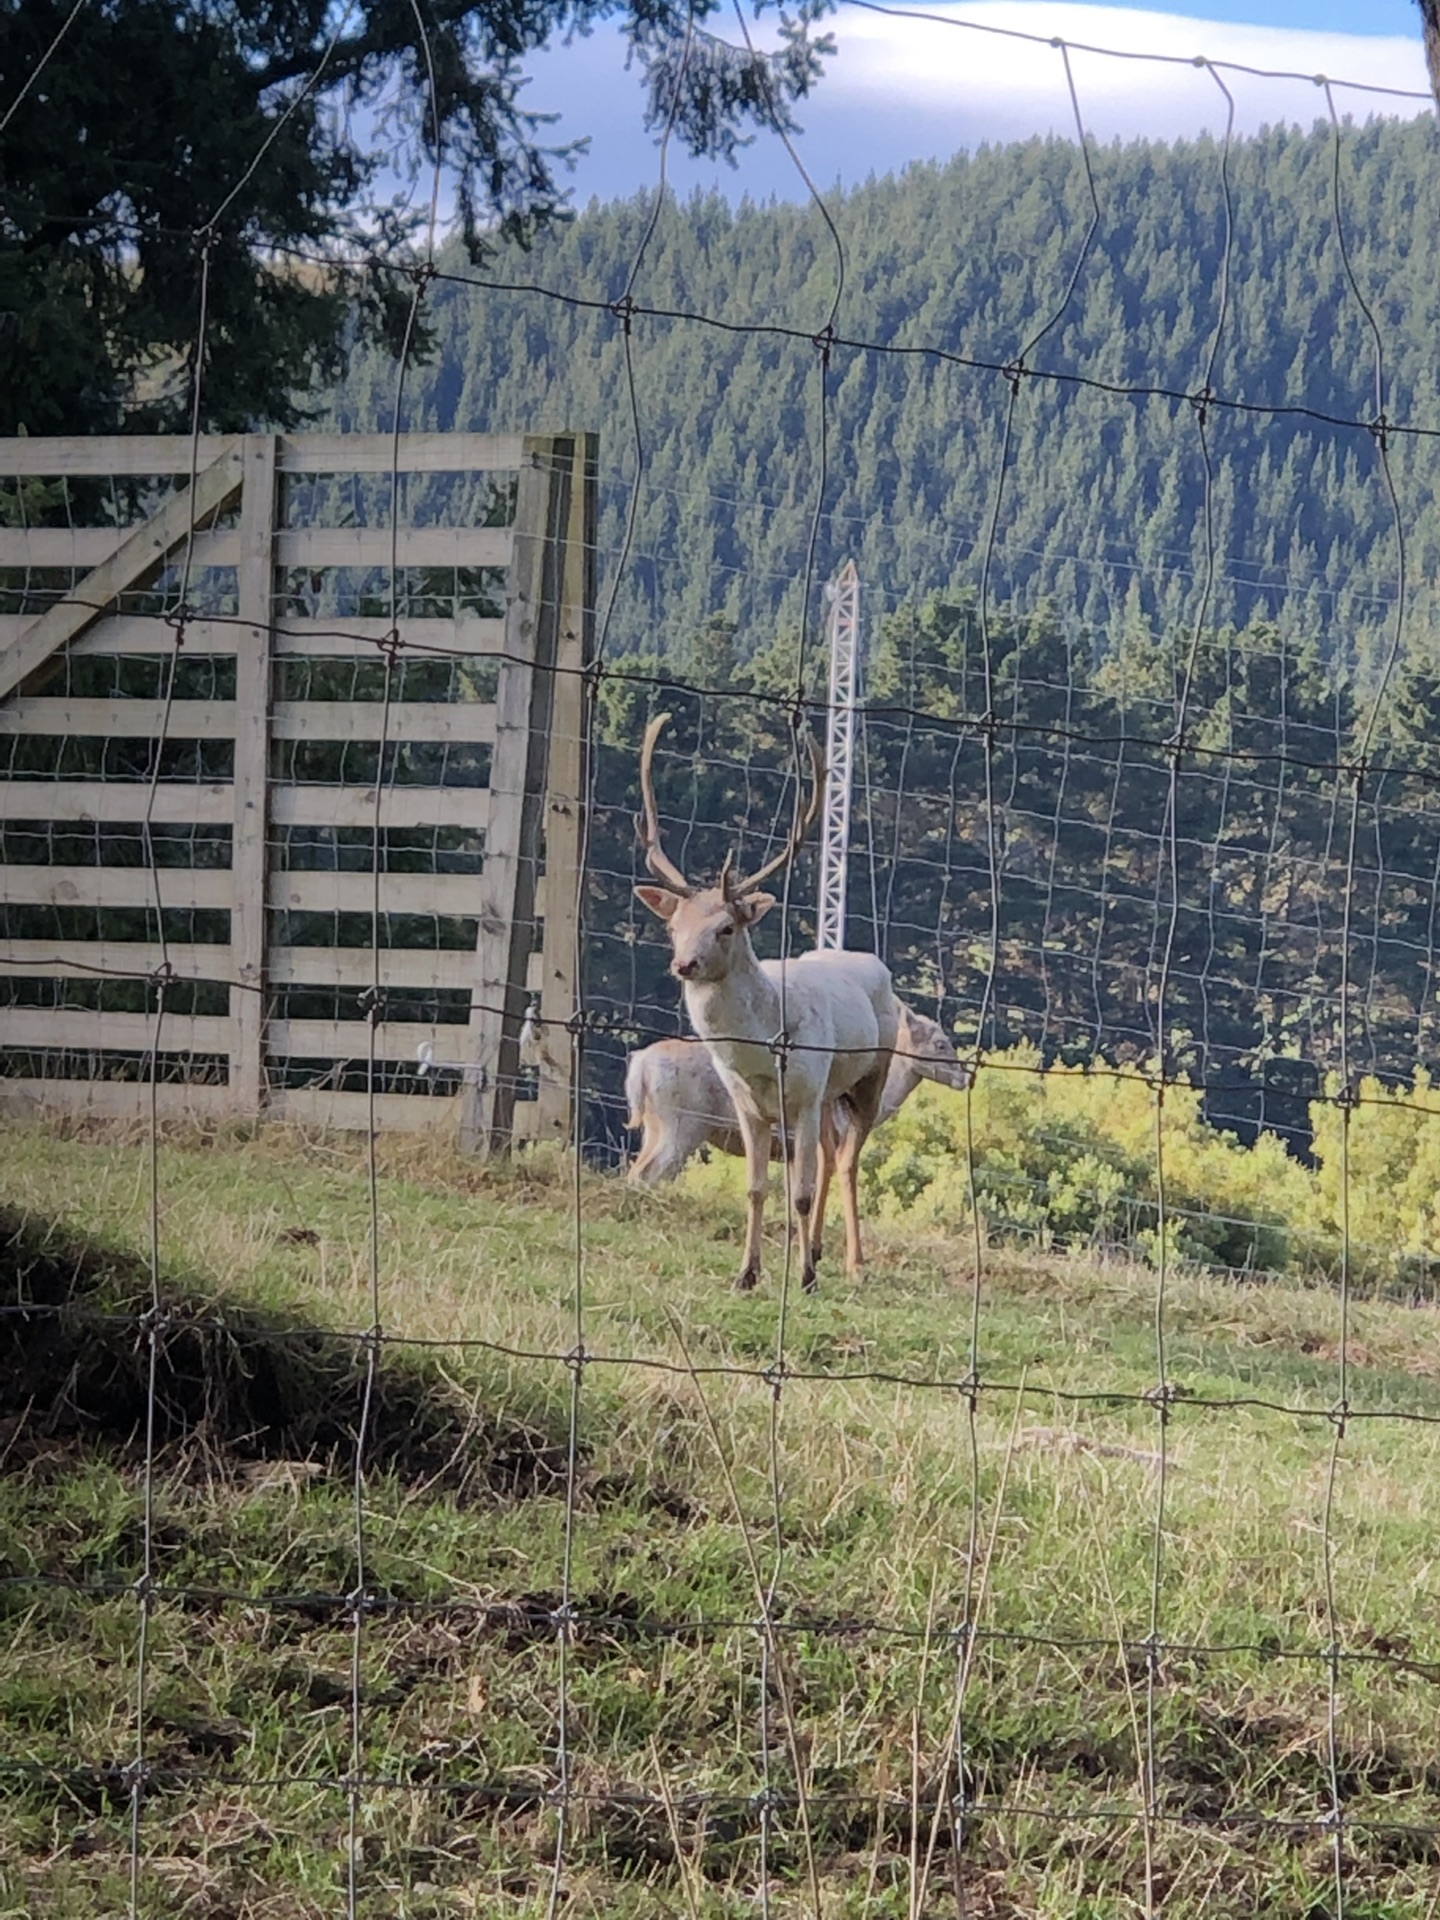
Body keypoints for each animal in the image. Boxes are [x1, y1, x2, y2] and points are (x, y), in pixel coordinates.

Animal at [633, 714, 902, 1297]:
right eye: (673, 925)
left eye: (726, 927)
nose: (684, 964)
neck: (760, 1056)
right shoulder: (748, 1104)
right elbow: (757, 1188)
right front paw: (748, 1273)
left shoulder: (800, 1095)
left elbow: (796, 1191)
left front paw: (803, 1278)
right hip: (827, 1093)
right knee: (830, 1153)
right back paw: (819, 1248)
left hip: (869, 1074)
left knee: (847, 1159)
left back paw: (852, 1262)